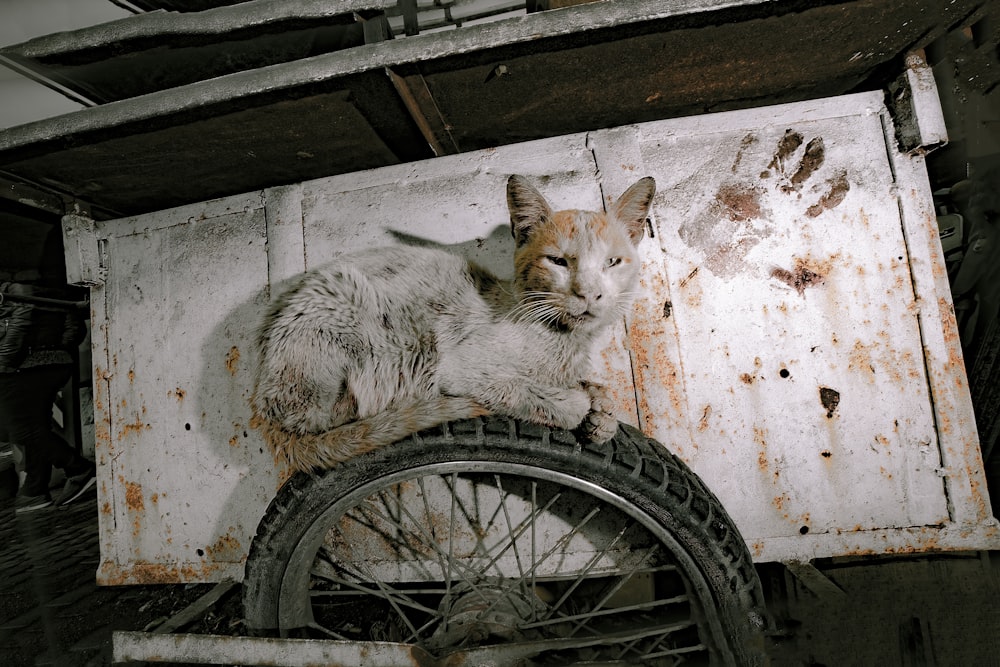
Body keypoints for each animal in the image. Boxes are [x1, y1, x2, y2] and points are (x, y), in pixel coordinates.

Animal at [250, 175, 656, 472]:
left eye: (612, 262)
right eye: (558, 261)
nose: (589, 293)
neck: (564, 341)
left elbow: (593, 392)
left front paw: (602, 413)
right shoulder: (465, 369)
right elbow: (537, 395)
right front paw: (580, 404)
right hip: (345, 305)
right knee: (319, 418)